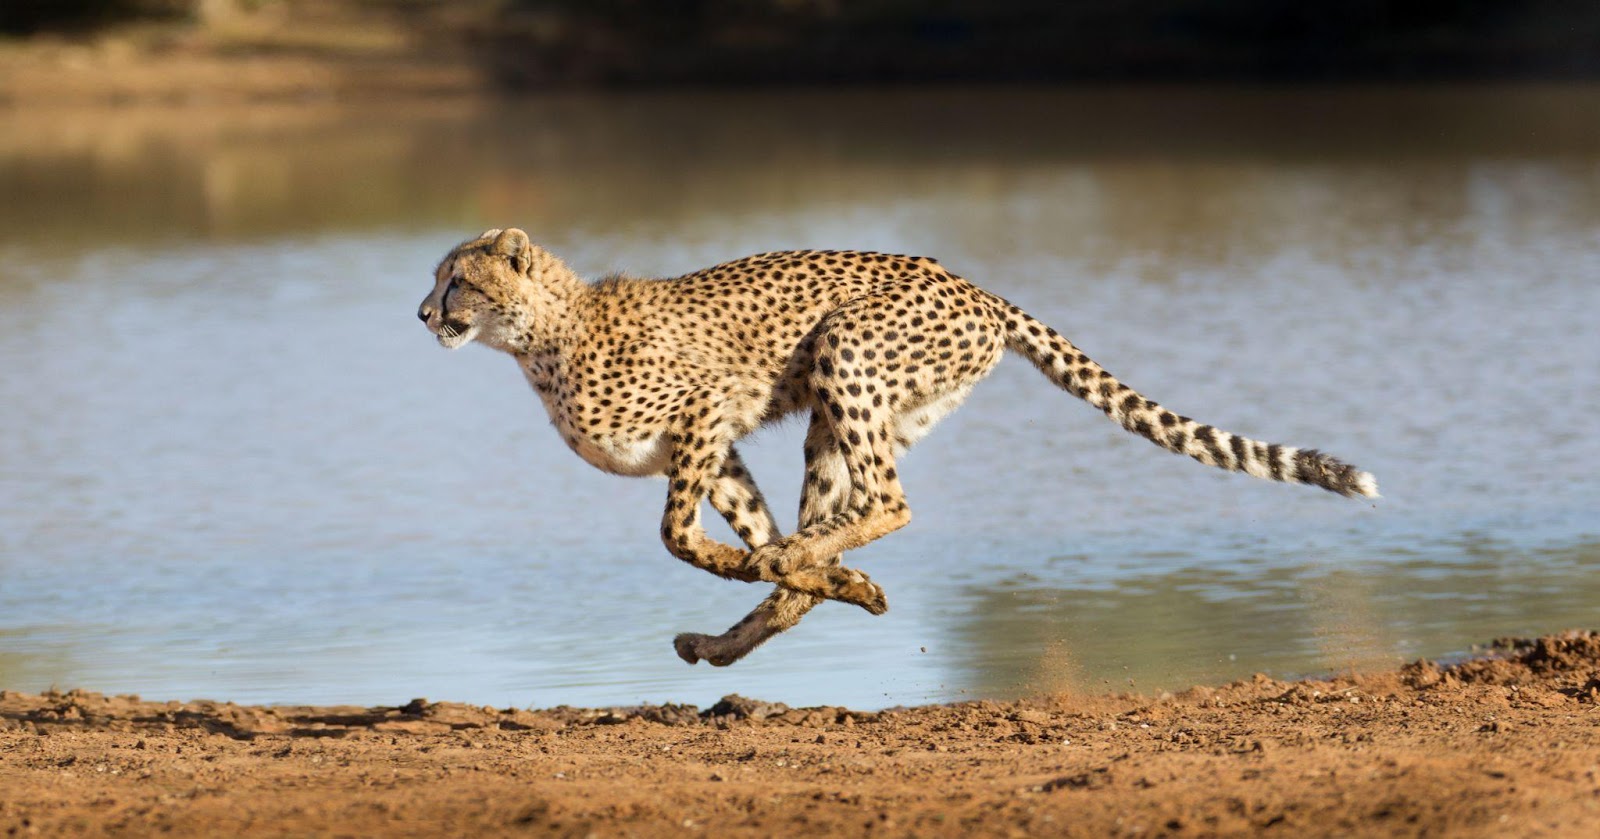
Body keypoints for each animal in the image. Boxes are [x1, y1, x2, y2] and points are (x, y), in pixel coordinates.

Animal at [417, 228, 1378, 667]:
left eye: (458, 279)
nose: (424, 313)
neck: (539, 338)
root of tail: (973, 284)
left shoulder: (705, 410)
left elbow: (678, 535)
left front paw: (764, 565)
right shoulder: (716, 444)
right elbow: (749, 531)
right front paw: (811, 578)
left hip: (845, 350)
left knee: (890, 501)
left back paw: (795, 573)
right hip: (848, 413)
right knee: (851, 512)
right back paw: (764, 617)